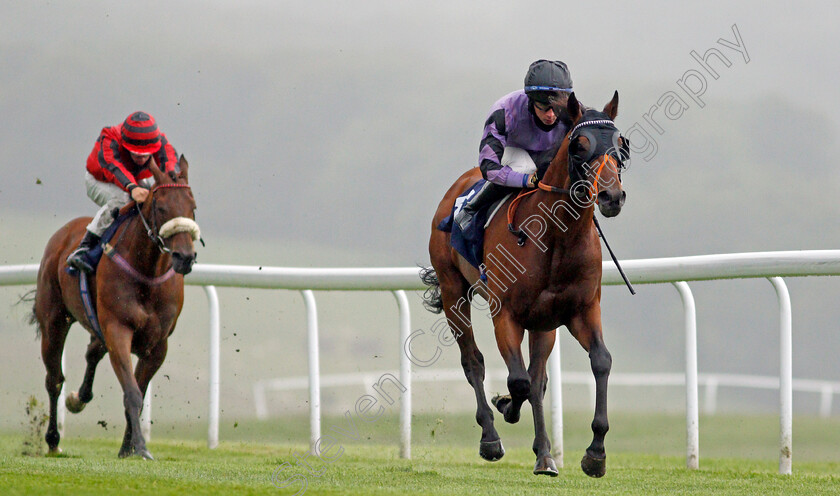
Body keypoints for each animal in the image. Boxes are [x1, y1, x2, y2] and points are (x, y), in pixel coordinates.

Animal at [32, 157, 199, 460]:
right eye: (161, 207)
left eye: (193, 206)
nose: (185, 257)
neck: (147, 272)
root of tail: (64, 232)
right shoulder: (118, 329)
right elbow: (132, 392)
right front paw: (140, 448)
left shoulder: (158, 344)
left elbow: (139, 392)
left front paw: (127, 448)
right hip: (54, 320)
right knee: (54, 380)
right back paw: (53, 439)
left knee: (92, 353)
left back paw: (78, 399)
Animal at [424, 92, 628, 476]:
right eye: (580, 146)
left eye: (620, 145)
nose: (612, 197)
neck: (558, 239)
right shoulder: (505, 313)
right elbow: (517, 381)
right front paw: (505, 406)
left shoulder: (579, 310)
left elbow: (599, 362)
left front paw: (595, 453)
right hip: (453, 291)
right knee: (474, 361)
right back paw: (491, 437)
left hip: (542, 323)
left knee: (537, 378)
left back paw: (544, 455)